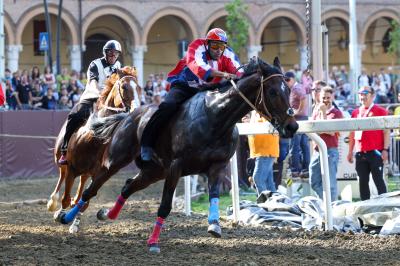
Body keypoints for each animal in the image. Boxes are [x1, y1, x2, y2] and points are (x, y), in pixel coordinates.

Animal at [47, 66, 141, 233]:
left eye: (139, 88)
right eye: (124, 87)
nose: (137, 109)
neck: (93, 136)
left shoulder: (98, 173)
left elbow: (85, 201)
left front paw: (75, 224)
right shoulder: (72, 168)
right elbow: (65, 199)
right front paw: (60, 213)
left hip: (86, 172)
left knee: (81, 185)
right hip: (61, 160)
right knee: (61, 176)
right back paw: (53, 201)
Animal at [57, 57, 298, 250]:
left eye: (289, 90)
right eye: (273, 91)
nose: (292, 127)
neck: (215, 116)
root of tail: (127, 116)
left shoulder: (216, 166)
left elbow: (214, 195)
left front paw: (214, 225)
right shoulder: (176, 166)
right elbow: (165, 206)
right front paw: (153, 242)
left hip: (154, 171)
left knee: (128, 186)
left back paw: (107, 214)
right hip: (116, 160)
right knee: (91, 190)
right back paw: (67, 216)